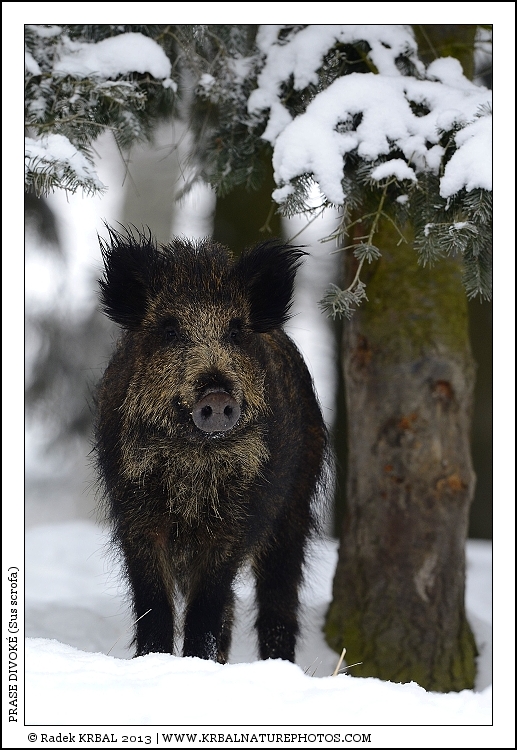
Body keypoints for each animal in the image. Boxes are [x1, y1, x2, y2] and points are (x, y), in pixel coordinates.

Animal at [95, 225, 327, 663]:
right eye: (170, 330)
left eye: (235, 330)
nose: (216, 395)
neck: (194, 464)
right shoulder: (136, 517)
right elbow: (153, 603)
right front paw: (153, 661)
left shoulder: (234, 523)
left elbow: (207, 603)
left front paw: (195, 664)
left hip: (294, 508)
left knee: (278, 599)